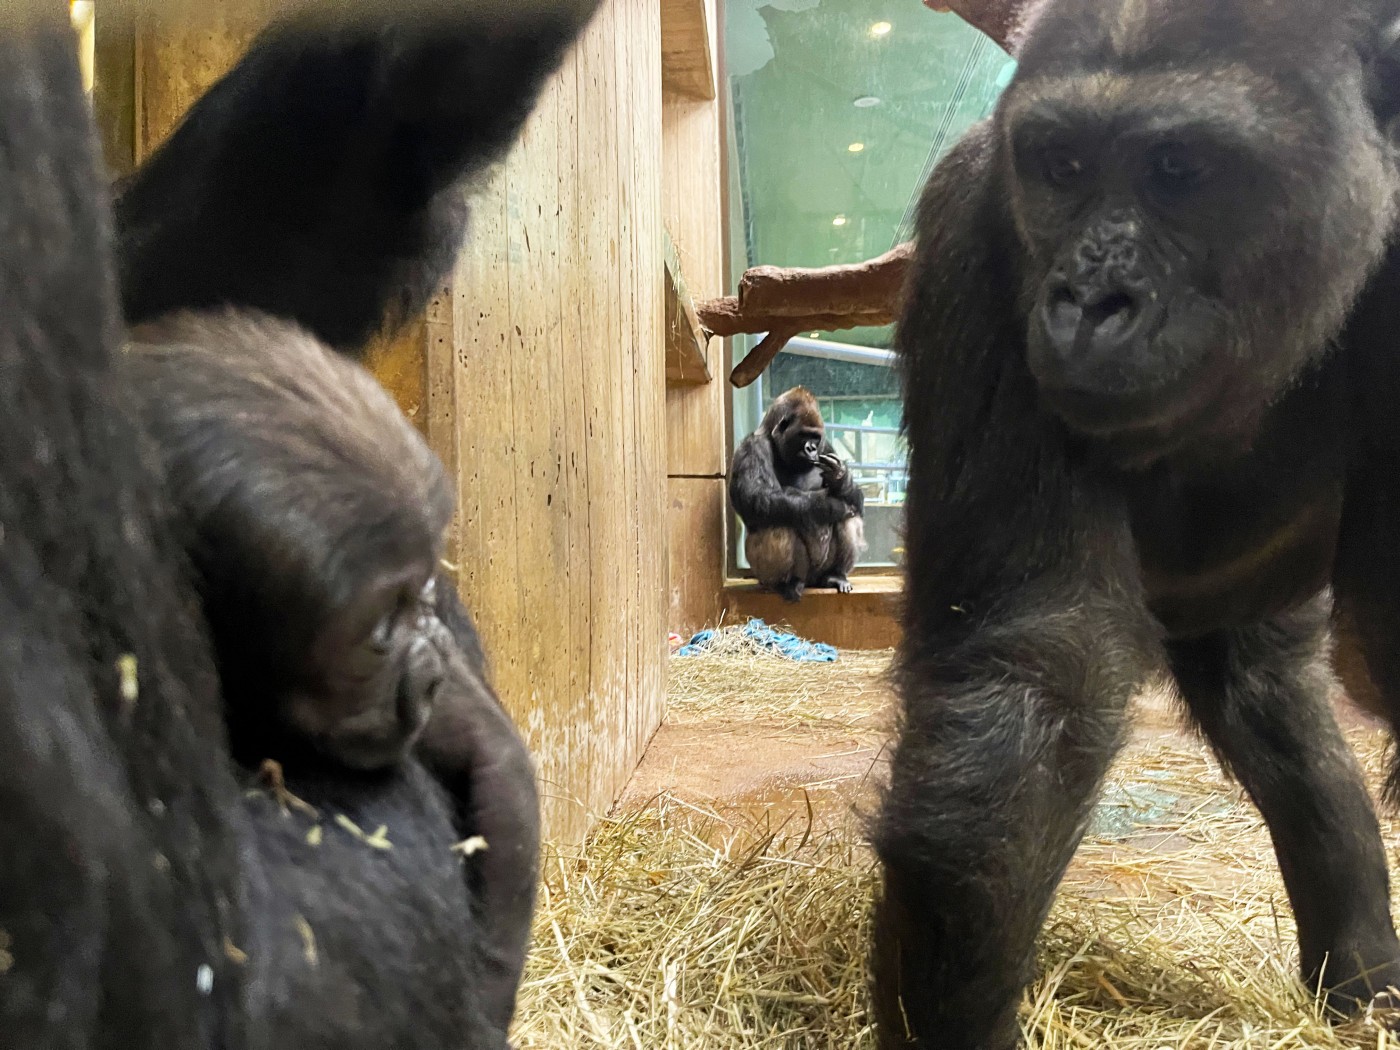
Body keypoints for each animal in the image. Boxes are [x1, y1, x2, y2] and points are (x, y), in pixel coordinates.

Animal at [733, 383, 862, 599]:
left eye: (815, 437)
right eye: (803, 435)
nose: (811, 449)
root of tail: (811, 582)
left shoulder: (826, 447)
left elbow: (857, 497)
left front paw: (839, 478)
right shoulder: (751, 447)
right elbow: (757, 498)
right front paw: (826, 505)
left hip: (818, 574)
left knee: (850, 512)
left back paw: (835, 575)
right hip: (770, 575)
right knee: (778, 520)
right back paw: (787, 583)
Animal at [868, 2, 1400, 1050]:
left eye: (1179, 170)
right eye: (1061, 165)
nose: (1086, 303)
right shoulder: (972, 217)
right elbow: (1043, 664)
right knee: (1273, 702)